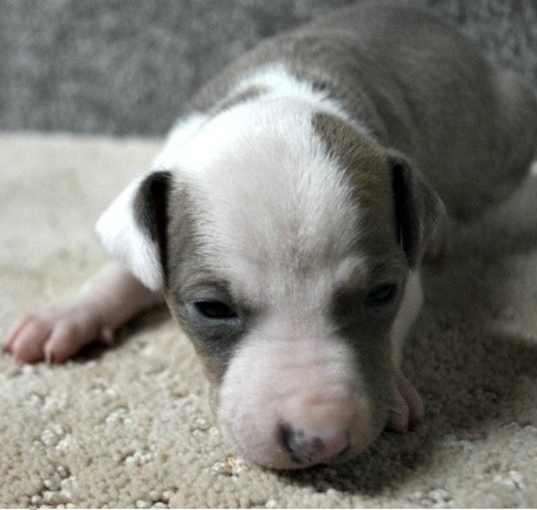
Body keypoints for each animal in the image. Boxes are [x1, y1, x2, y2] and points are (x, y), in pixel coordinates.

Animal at [4, 0, 536, 470]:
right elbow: (124, 273)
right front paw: (65, 314)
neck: (274, 102)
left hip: (500, 139)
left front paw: (396, 389)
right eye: (211, 309)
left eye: (383, 293)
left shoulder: (408, 276)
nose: (320, 440)